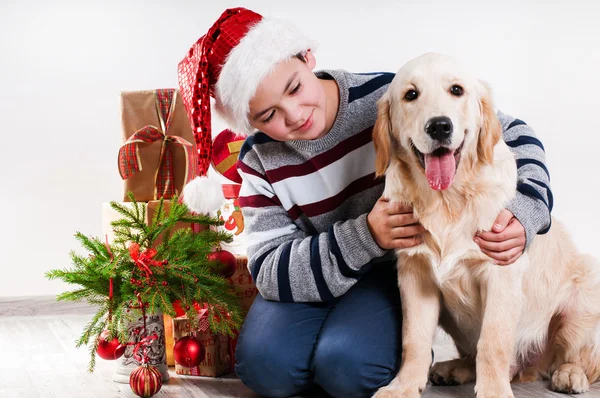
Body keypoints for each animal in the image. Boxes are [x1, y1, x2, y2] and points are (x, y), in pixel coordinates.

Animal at [370, 52, 600, 398]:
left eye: (456, 90)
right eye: (411, 94)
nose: (439, 126)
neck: (447, 201)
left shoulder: (501, 272)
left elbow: (493, 342)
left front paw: (494, 392)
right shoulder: (415, 273)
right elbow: (414, 340)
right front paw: (404, 386)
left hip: (584, 292)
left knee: (577, 357)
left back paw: (570, 374)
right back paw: (454, 368)